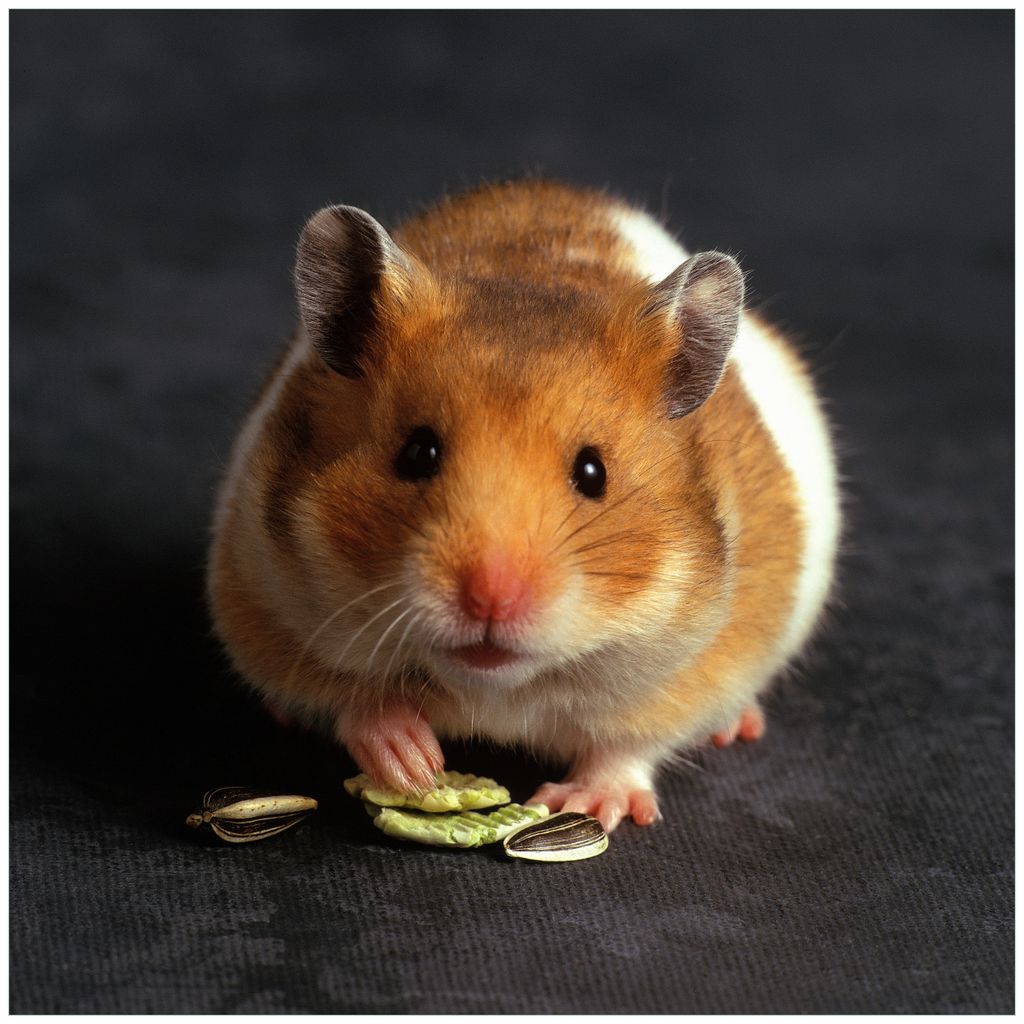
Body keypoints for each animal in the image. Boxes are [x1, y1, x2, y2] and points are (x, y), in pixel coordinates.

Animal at [207, 179, 840, 832]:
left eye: (593, 473)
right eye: (417, 452)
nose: (491, 599)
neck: (496, 685)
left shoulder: (699, 666)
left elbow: (628, 745)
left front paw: (582, 805)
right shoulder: (261, 596)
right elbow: (351, 700)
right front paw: (413, 764)